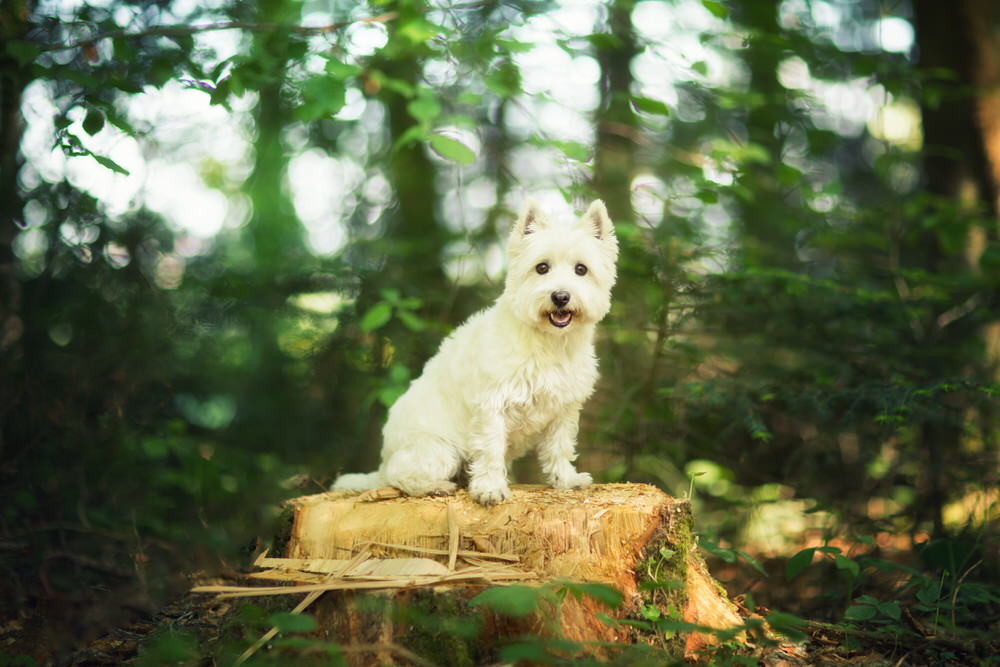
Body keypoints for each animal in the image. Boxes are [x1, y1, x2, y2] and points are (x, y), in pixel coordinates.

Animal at [334, 200, 616, 506]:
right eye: (542, 267)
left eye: (581, 269)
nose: (561, 297)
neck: (550, 343)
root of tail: (382, 463)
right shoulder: (492, 405)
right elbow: (491, 450)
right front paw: (490, 489)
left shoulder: (563, 411)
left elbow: (559, 448)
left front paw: (565, 480)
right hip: (438, 450)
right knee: (401, 476)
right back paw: (436, 486)